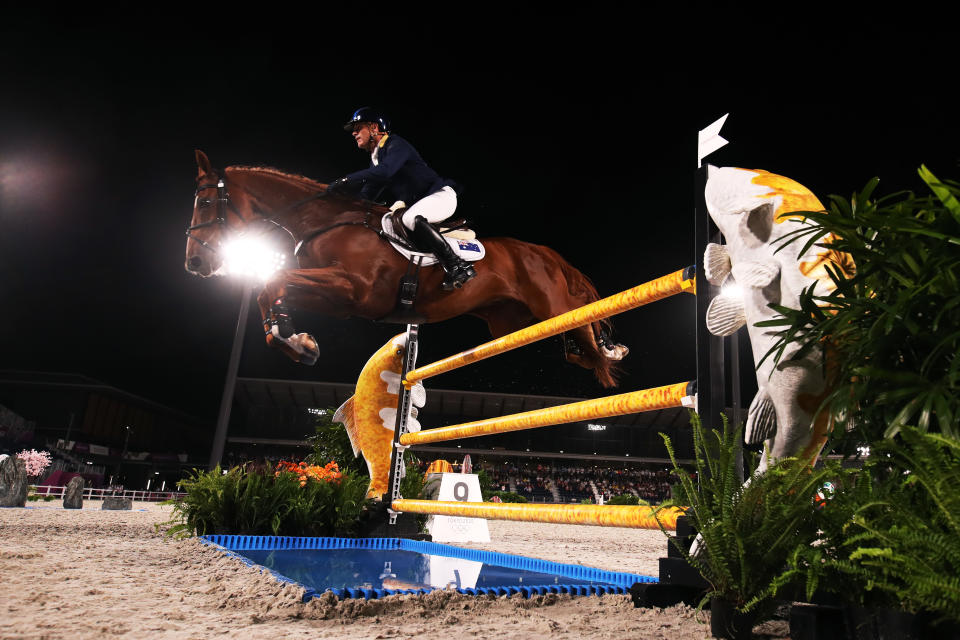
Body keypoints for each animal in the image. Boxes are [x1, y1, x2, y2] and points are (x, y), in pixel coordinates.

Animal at [186, 151, 632, 388]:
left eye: (205, 203)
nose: (195, 264)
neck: (326, 222)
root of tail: (541, 252)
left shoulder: (352, 289)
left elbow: (271, 280)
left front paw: (296, 340)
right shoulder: (338, 299)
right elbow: (270, 287)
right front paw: (296, 342)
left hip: (550, 304)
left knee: (584, 321)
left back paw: (610, 350)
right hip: (512, 321)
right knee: (573, 343)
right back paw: (596, 353)